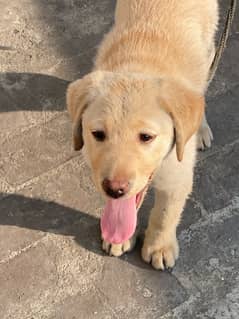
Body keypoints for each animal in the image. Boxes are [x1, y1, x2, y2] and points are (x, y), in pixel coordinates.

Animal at [67, 0, 218, 270]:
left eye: (146, 137)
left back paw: (200, 127)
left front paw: (159, 246)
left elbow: (166, 214)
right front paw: (117, 238)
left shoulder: (177, 173)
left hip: (210, 41)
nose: (115, 189)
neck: (139, 64)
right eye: (98, 134)